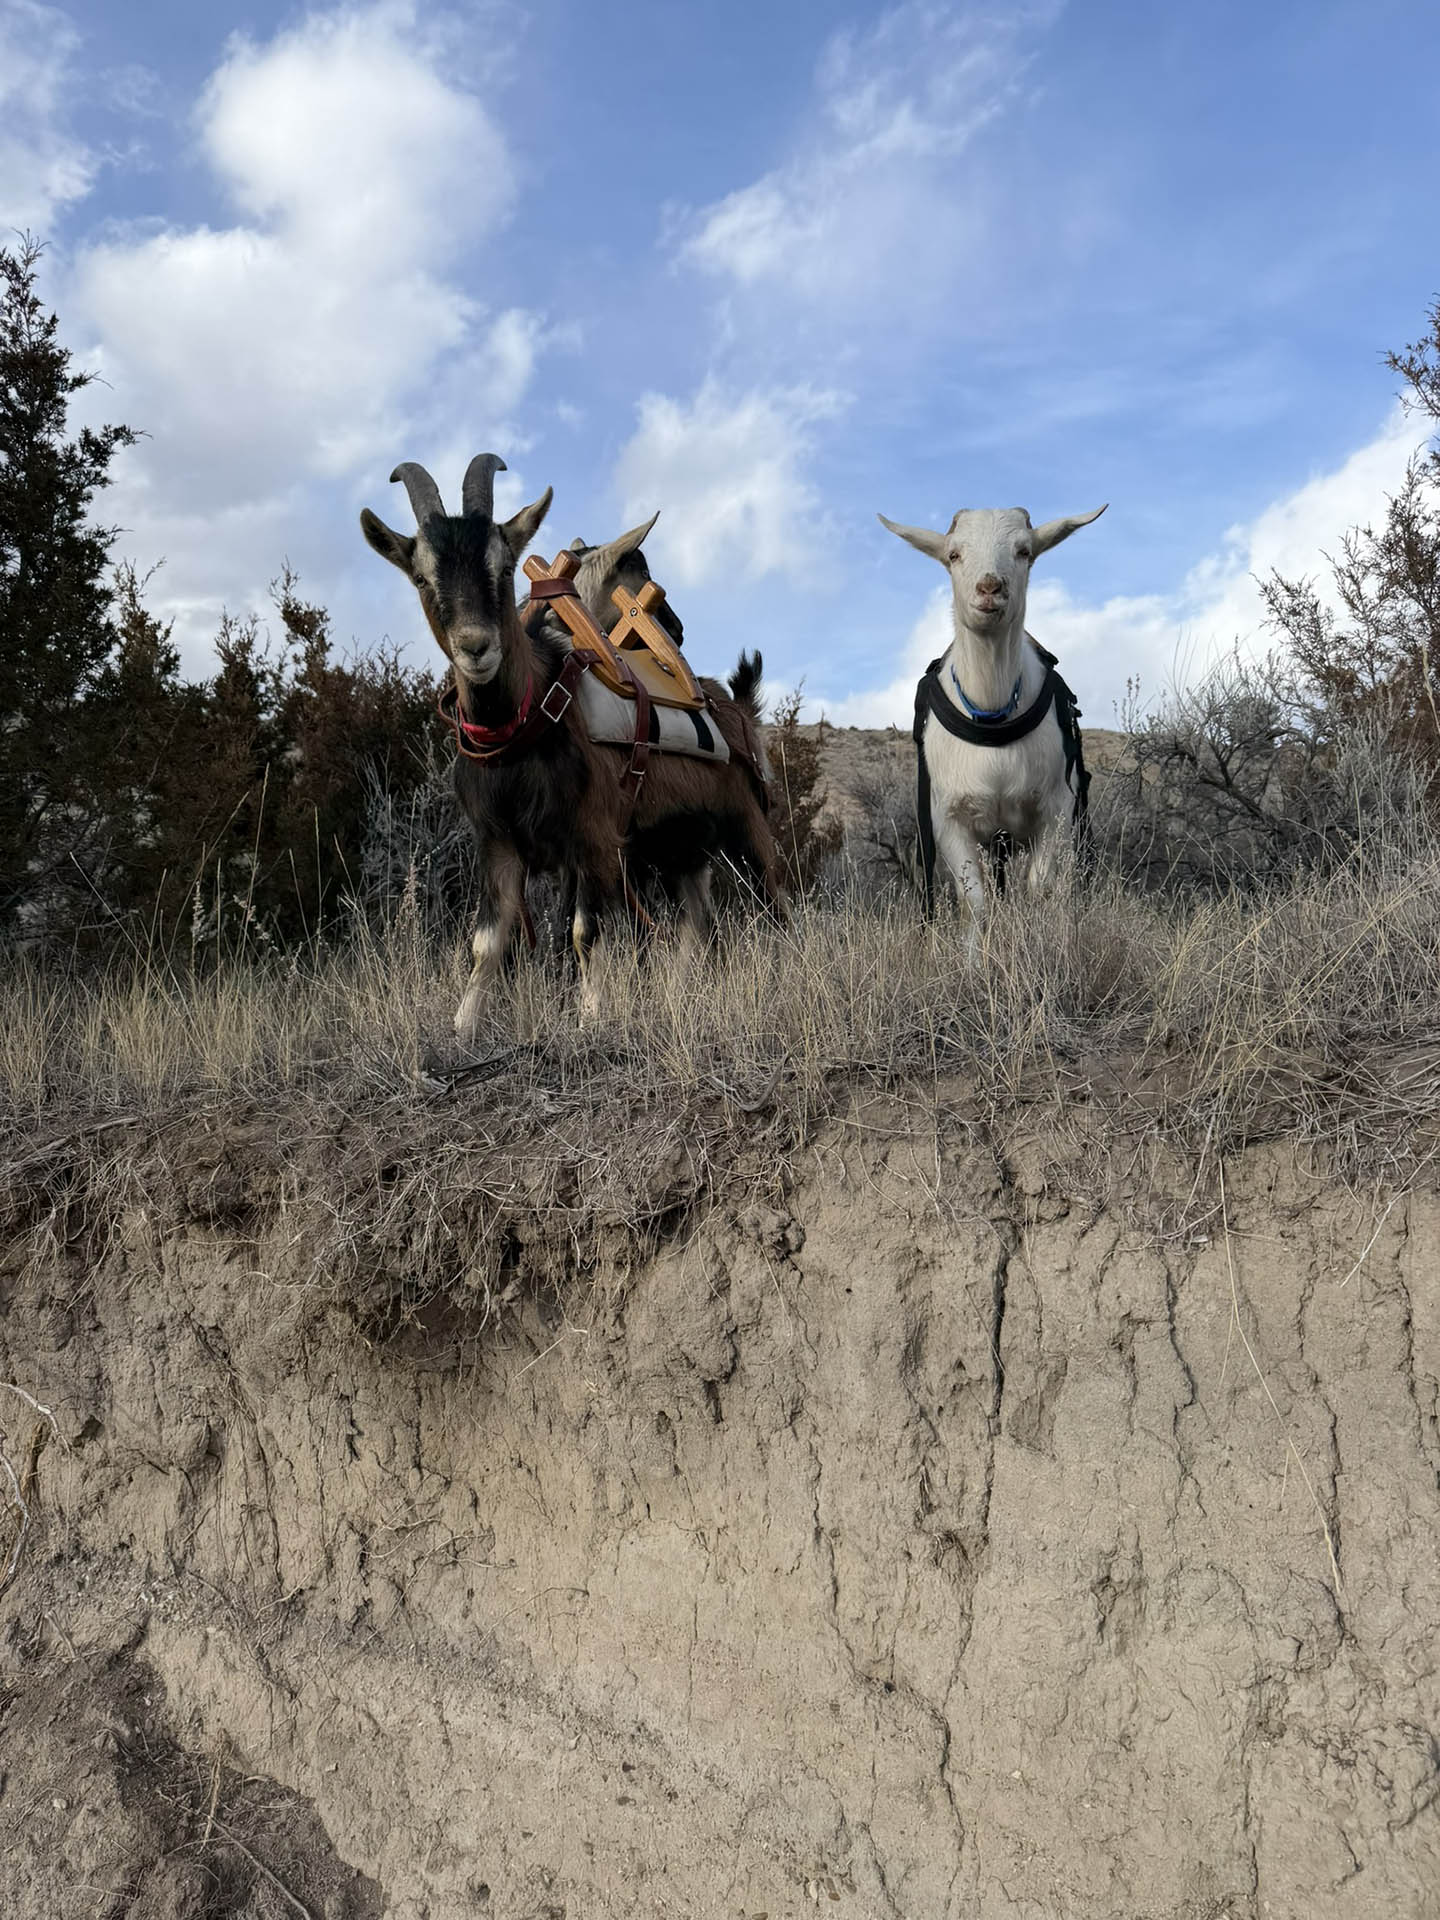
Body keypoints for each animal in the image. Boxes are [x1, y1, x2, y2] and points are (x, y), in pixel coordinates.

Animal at [361, 455, 785, 1035]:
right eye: (422, 577)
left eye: (504, 567)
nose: (476, 647)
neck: (524, 726)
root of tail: (738, 707)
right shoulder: (499, 844)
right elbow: (488, 944)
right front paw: (463, 1027)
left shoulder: (594, 839)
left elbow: (582, 933)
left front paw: (590, 1018)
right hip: (681, 849)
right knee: (696, 923)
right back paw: (679, 999)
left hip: (747, 821)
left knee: (776, 900)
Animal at [878, 501, 1106, 924]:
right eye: (953, 554)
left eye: (1024, 551)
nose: (989, 588)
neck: (991, 711)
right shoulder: (948, 819)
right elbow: (974, 900)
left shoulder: (1054, 811)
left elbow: (1039, 888)